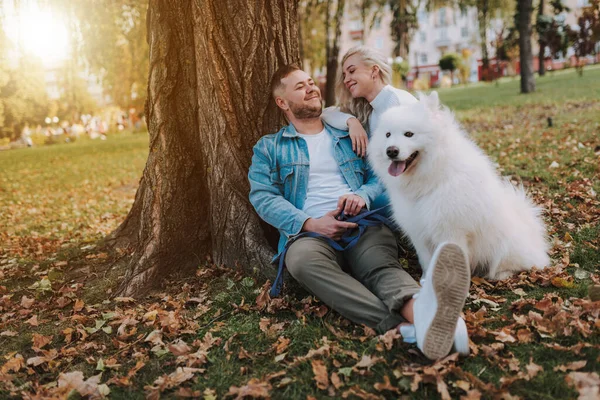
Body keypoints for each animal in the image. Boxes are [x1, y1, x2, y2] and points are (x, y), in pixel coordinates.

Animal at [368, 92, 552, 280]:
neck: (431, 180)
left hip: (504, 245)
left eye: (409, 134)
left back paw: (502, 274)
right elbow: (427, 262)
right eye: (388, 135)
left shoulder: (451, 232)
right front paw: (427, 281)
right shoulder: (419, 232)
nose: (391, 151)